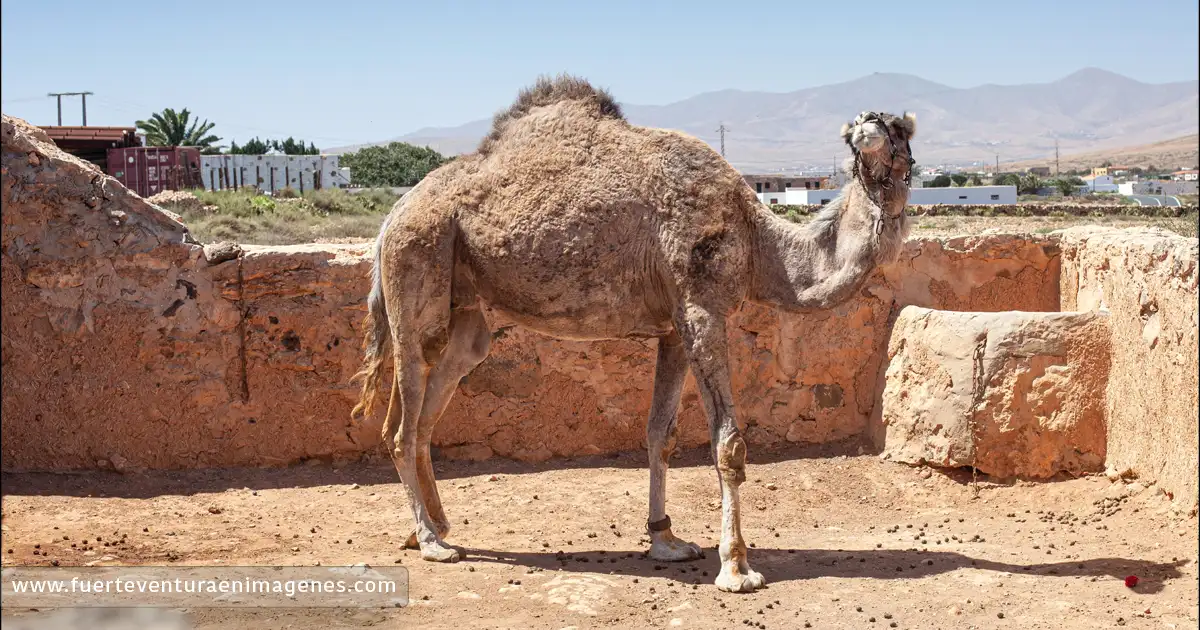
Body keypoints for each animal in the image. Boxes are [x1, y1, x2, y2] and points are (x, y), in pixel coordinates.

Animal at [352, 75, 916, 593]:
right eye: (876, 124)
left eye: (902, 127)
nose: (868, 122)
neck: (759, 245)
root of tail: (390, 217)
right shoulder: (701, 308)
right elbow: (729, 443)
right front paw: (736, 567)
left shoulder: (674, 327)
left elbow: (660, 434)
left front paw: (666, 540)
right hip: (416, 270)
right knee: (400, 423)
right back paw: (430, 541)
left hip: (465, 311)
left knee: (430, 409)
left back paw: (433, 528)